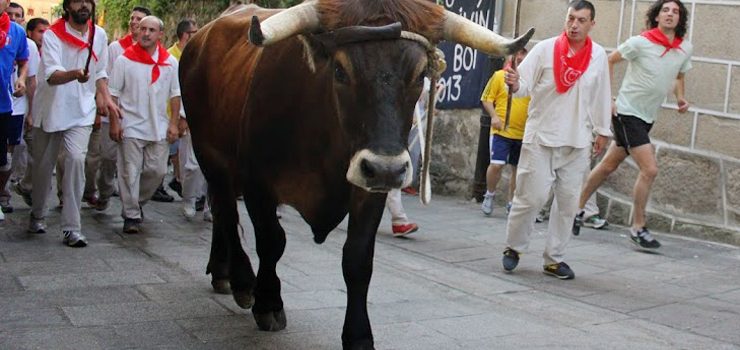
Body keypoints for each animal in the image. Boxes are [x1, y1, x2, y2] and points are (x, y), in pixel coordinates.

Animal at [181, 1, 532, 348]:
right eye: (339, 70)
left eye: (421, 74)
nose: (387, 169)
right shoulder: (258, 182)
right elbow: (271, 241)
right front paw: (268, 303)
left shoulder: (369, 191)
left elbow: (358, 258)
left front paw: (359, 335)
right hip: (209, 153)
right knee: (225, 211)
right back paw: (240, 281)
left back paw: (221, 271)